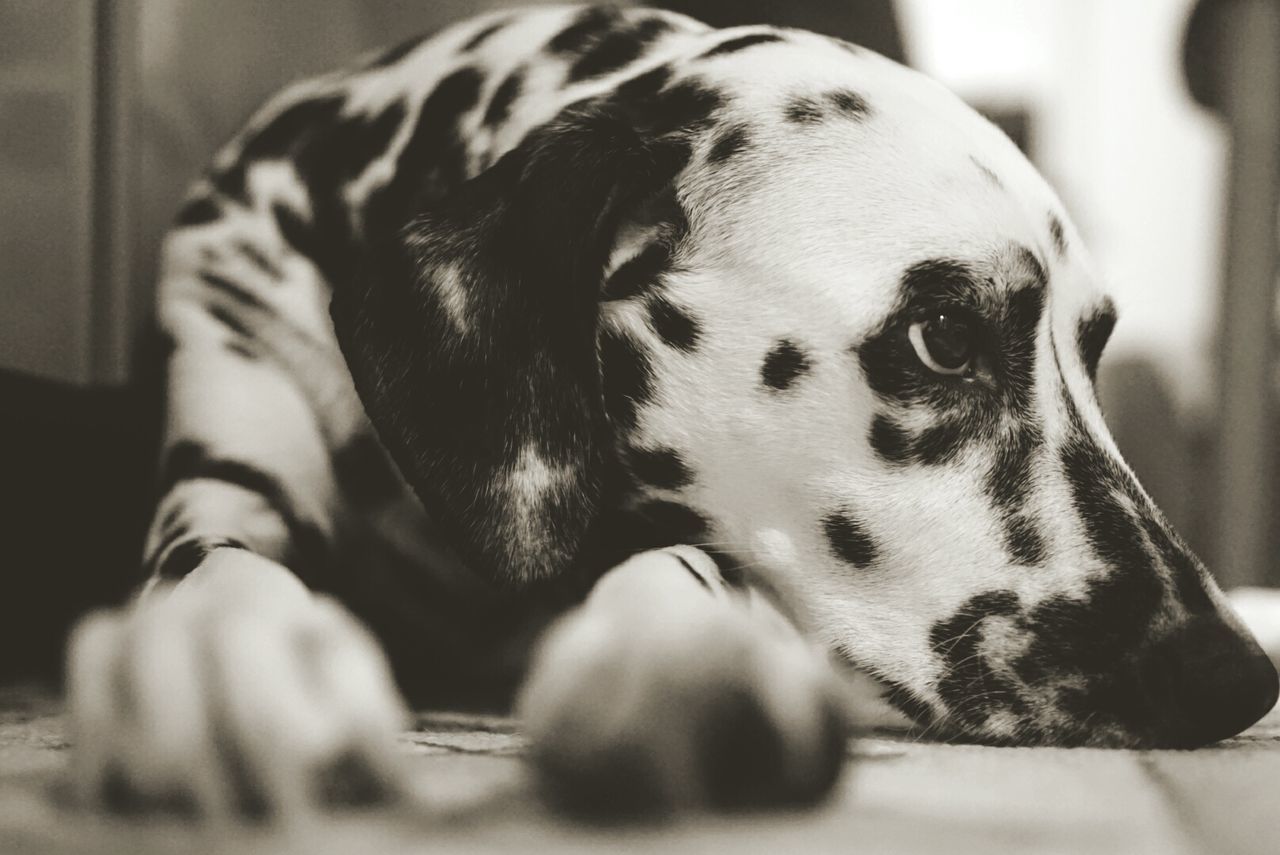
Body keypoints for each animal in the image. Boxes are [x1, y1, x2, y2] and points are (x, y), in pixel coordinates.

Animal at [64, 3, 1274, 819]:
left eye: (1092, 348)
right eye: (944, 337)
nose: (1233, 678)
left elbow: (683, 565)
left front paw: (684, 652)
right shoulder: (230, 435)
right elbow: (215, 563)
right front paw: (223, 647)